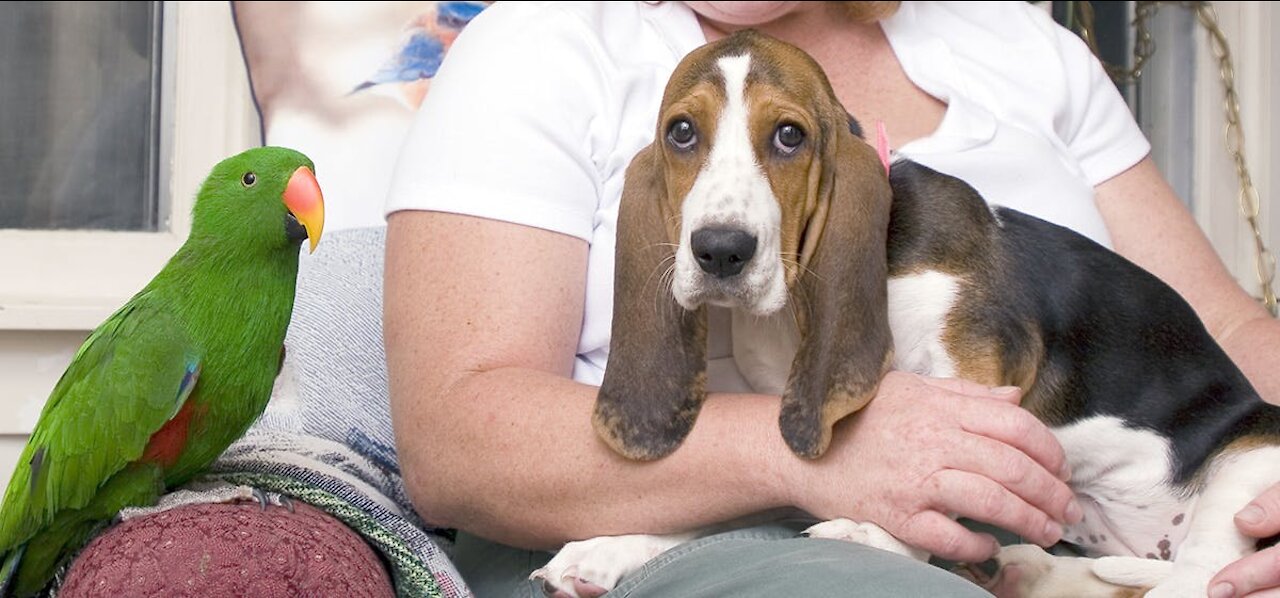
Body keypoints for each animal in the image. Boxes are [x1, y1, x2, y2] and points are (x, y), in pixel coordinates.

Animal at [535, 29, 1280, 598]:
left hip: (1250, 465)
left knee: (1201, 575)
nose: (720, 249)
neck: (790, 311)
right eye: (682, 133)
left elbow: (939, 482)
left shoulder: (976, 373)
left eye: (789, 136)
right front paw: (618, 544)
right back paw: (1021, 568)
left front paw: (875, 534)